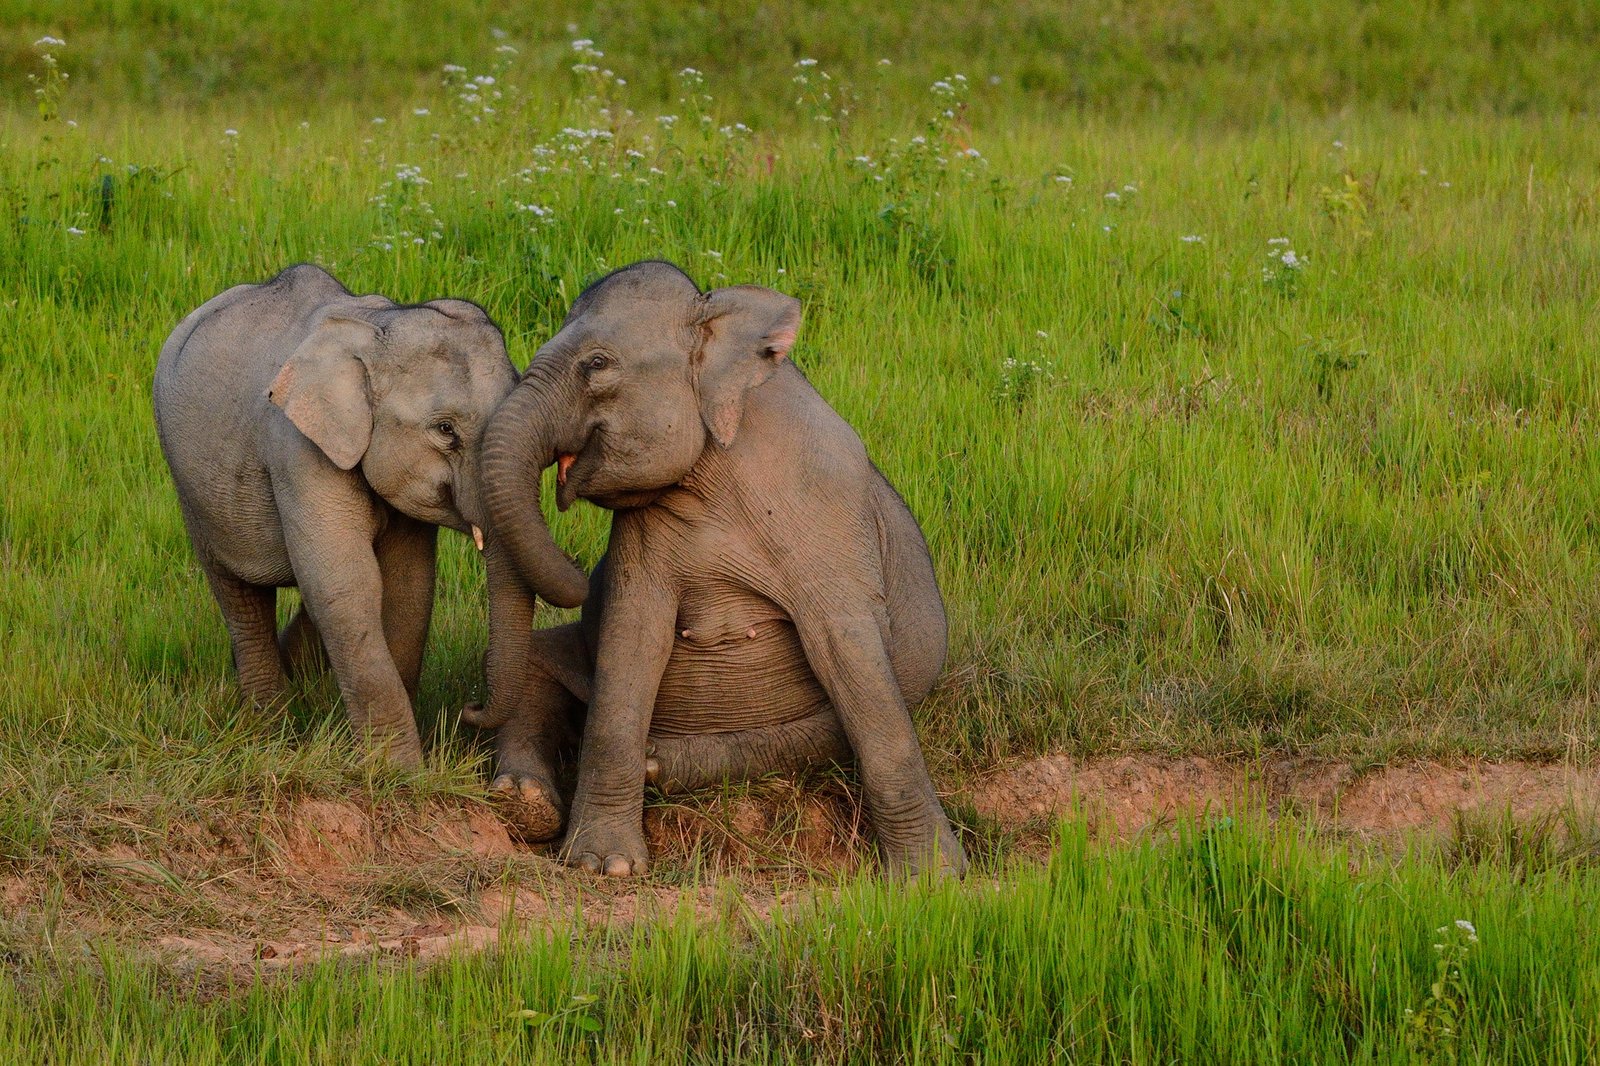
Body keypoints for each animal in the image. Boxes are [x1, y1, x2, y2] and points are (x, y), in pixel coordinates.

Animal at [153, 264, 587, 767]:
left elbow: (406, 586)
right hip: (189, 485)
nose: (470, 706)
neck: (377, 329)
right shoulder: (296, 448)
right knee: (238, 592)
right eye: (445, 430)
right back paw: (269, 723)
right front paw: (400, 772)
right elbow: (348, 585)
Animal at [467, 259, 967, 877]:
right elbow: (631, 643)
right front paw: (604, 867)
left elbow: (850, 653)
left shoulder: (827, 507)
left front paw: (933, 879)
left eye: (597, 364)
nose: (583, 575)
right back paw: (526, 801)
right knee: (537, 663)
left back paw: (656, 764)